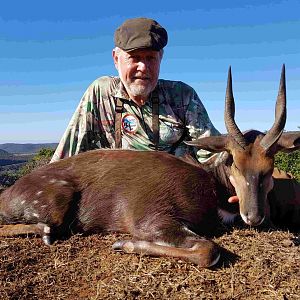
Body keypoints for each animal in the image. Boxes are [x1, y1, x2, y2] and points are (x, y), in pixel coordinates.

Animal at [0, 65, 298, 268]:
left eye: (269, 167)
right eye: (233, 162)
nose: (253, 216)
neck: (212, 190)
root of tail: (7, 194)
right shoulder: (150, 218)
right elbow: (208, 251)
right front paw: (123, 243)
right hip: (55, 204)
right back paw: (47, 233)